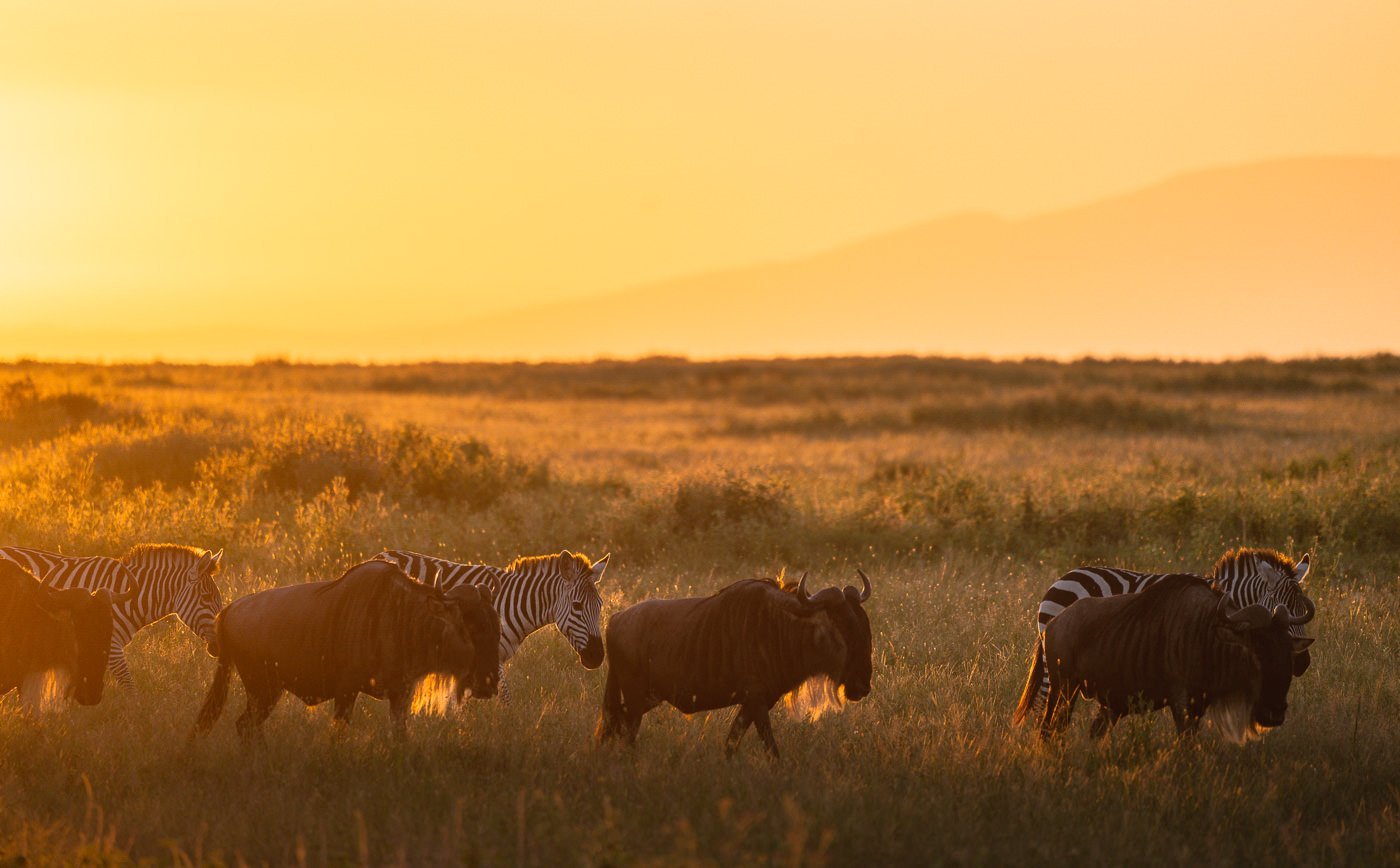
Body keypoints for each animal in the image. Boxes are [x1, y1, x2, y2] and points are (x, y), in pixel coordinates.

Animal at [0, 540, 224, 688]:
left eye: (218, 599)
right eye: (206, 597)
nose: (221, 646)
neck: (130, 598)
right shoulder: (110, 645)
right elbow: (128, 684)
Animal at [375, 548, 610, 705]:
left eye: (600, 605)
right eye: (577, 606)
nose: (597, 657)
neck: (513, 605)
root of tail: (381, 555)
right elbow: (503, 697)